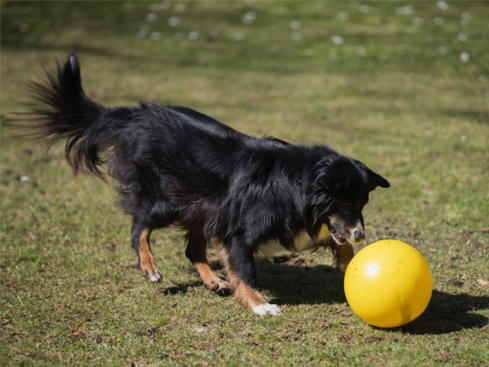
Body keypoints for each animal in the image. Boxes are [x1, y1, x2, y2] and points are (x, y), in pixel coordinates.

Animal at [23, 53, 388, 318]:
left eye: (361, 204)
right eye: (344, 203)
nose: (361, 235)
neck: (295, 184)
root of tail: (134, 116)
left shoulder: (294, 223)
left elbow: (335, 241)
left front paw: (347, 262)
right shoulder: (239, 231)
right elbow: (246, 271)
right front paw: (260, 305)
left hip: (201, 207)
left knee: (191, 249)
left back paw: (213, 281)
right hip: (167, 200)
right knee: (139, 228)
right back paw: (150, 267)